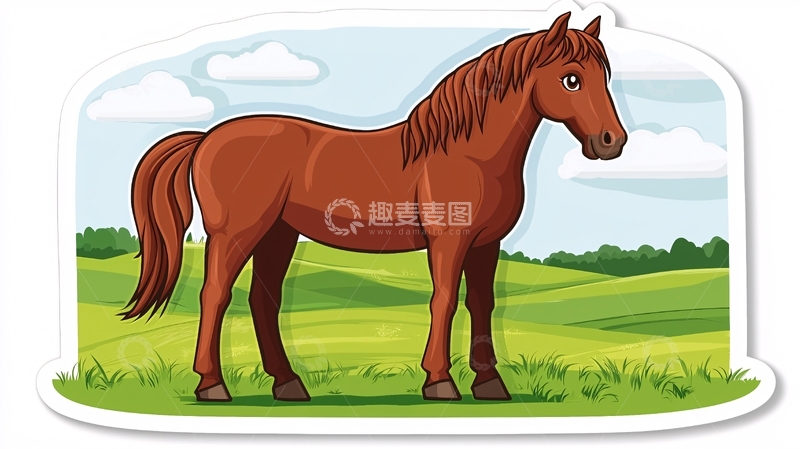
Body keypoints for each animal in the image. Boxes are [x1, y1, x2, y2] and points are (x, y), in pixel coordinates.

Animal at [120, 11, 626, 403]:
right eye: (571, 79)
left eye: (604, 77)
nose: (612, 142)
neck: (467, 152)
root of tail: (207, 136)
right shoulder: (449, 240)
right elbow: (444, 300)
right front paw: (439, 382)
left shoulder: (486, 244)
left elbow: (482, 303)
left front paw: (490, 384)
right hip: (236, 233)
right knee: (214, 296)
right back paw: (212, 386)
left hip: (278, 234)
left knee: (263, 301)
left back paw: (289, 385)